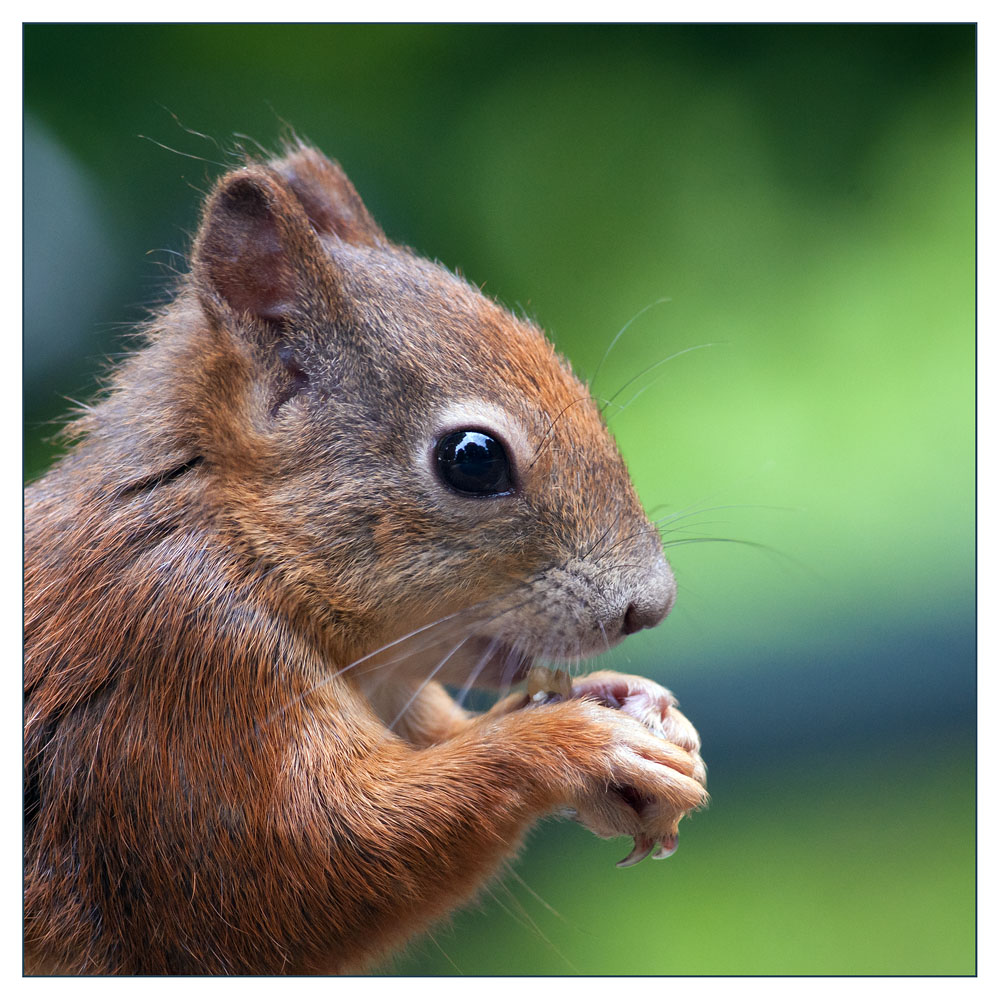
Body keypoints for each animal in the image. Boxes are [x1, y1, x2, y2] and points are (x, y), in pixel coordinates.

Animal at [25, 145, 712, 972]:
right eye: (473, 458)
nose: (651, 605)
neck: (235, 538)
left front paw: (633, 702)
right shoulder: (184, 665)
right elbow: (308, 862)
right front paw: (575, 742)